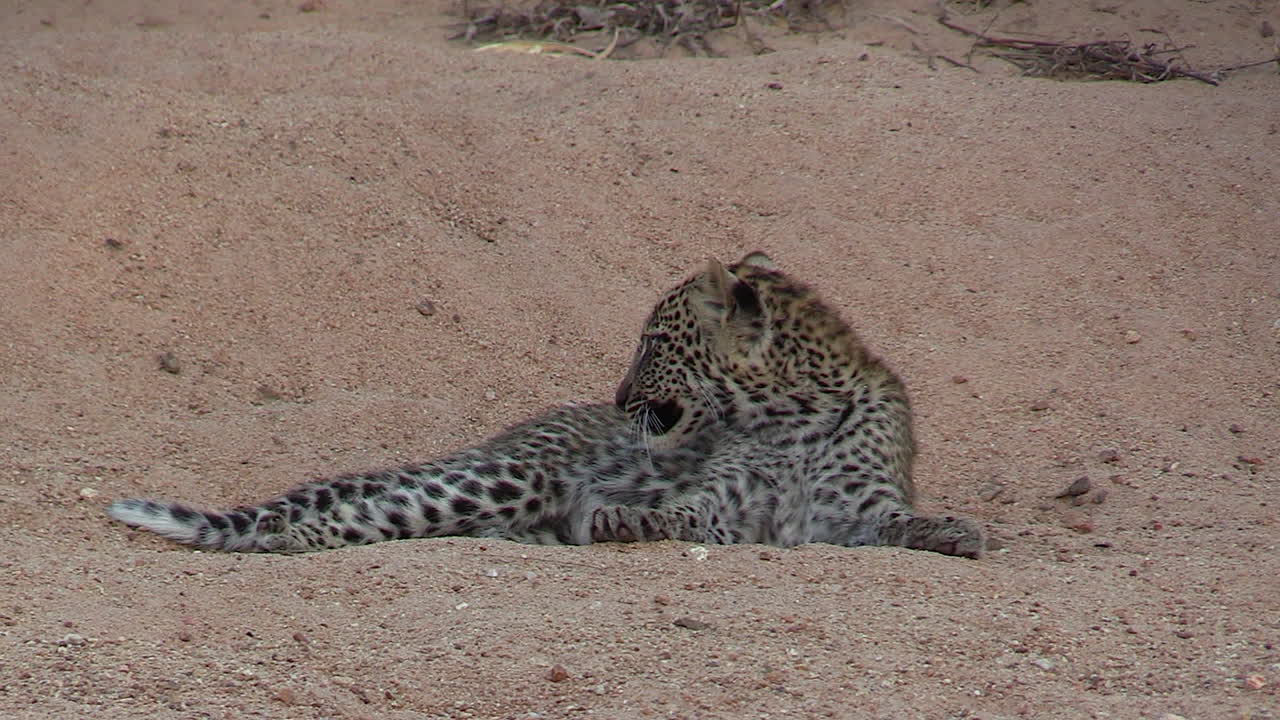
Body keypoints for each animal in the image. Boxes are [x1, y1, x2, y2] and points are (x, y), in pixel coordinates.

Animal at [108, 252, 984, 558]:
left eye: (650, 343)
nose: (620, 397)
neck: (791, 417)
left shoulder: (850, 513)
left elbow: (899, 523)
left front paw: (955, 531)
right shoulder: (722, 506)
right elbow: (677, 514)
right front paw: (619, 518)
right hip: (502, 478)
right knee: (355, 513)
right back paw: (283, 539)